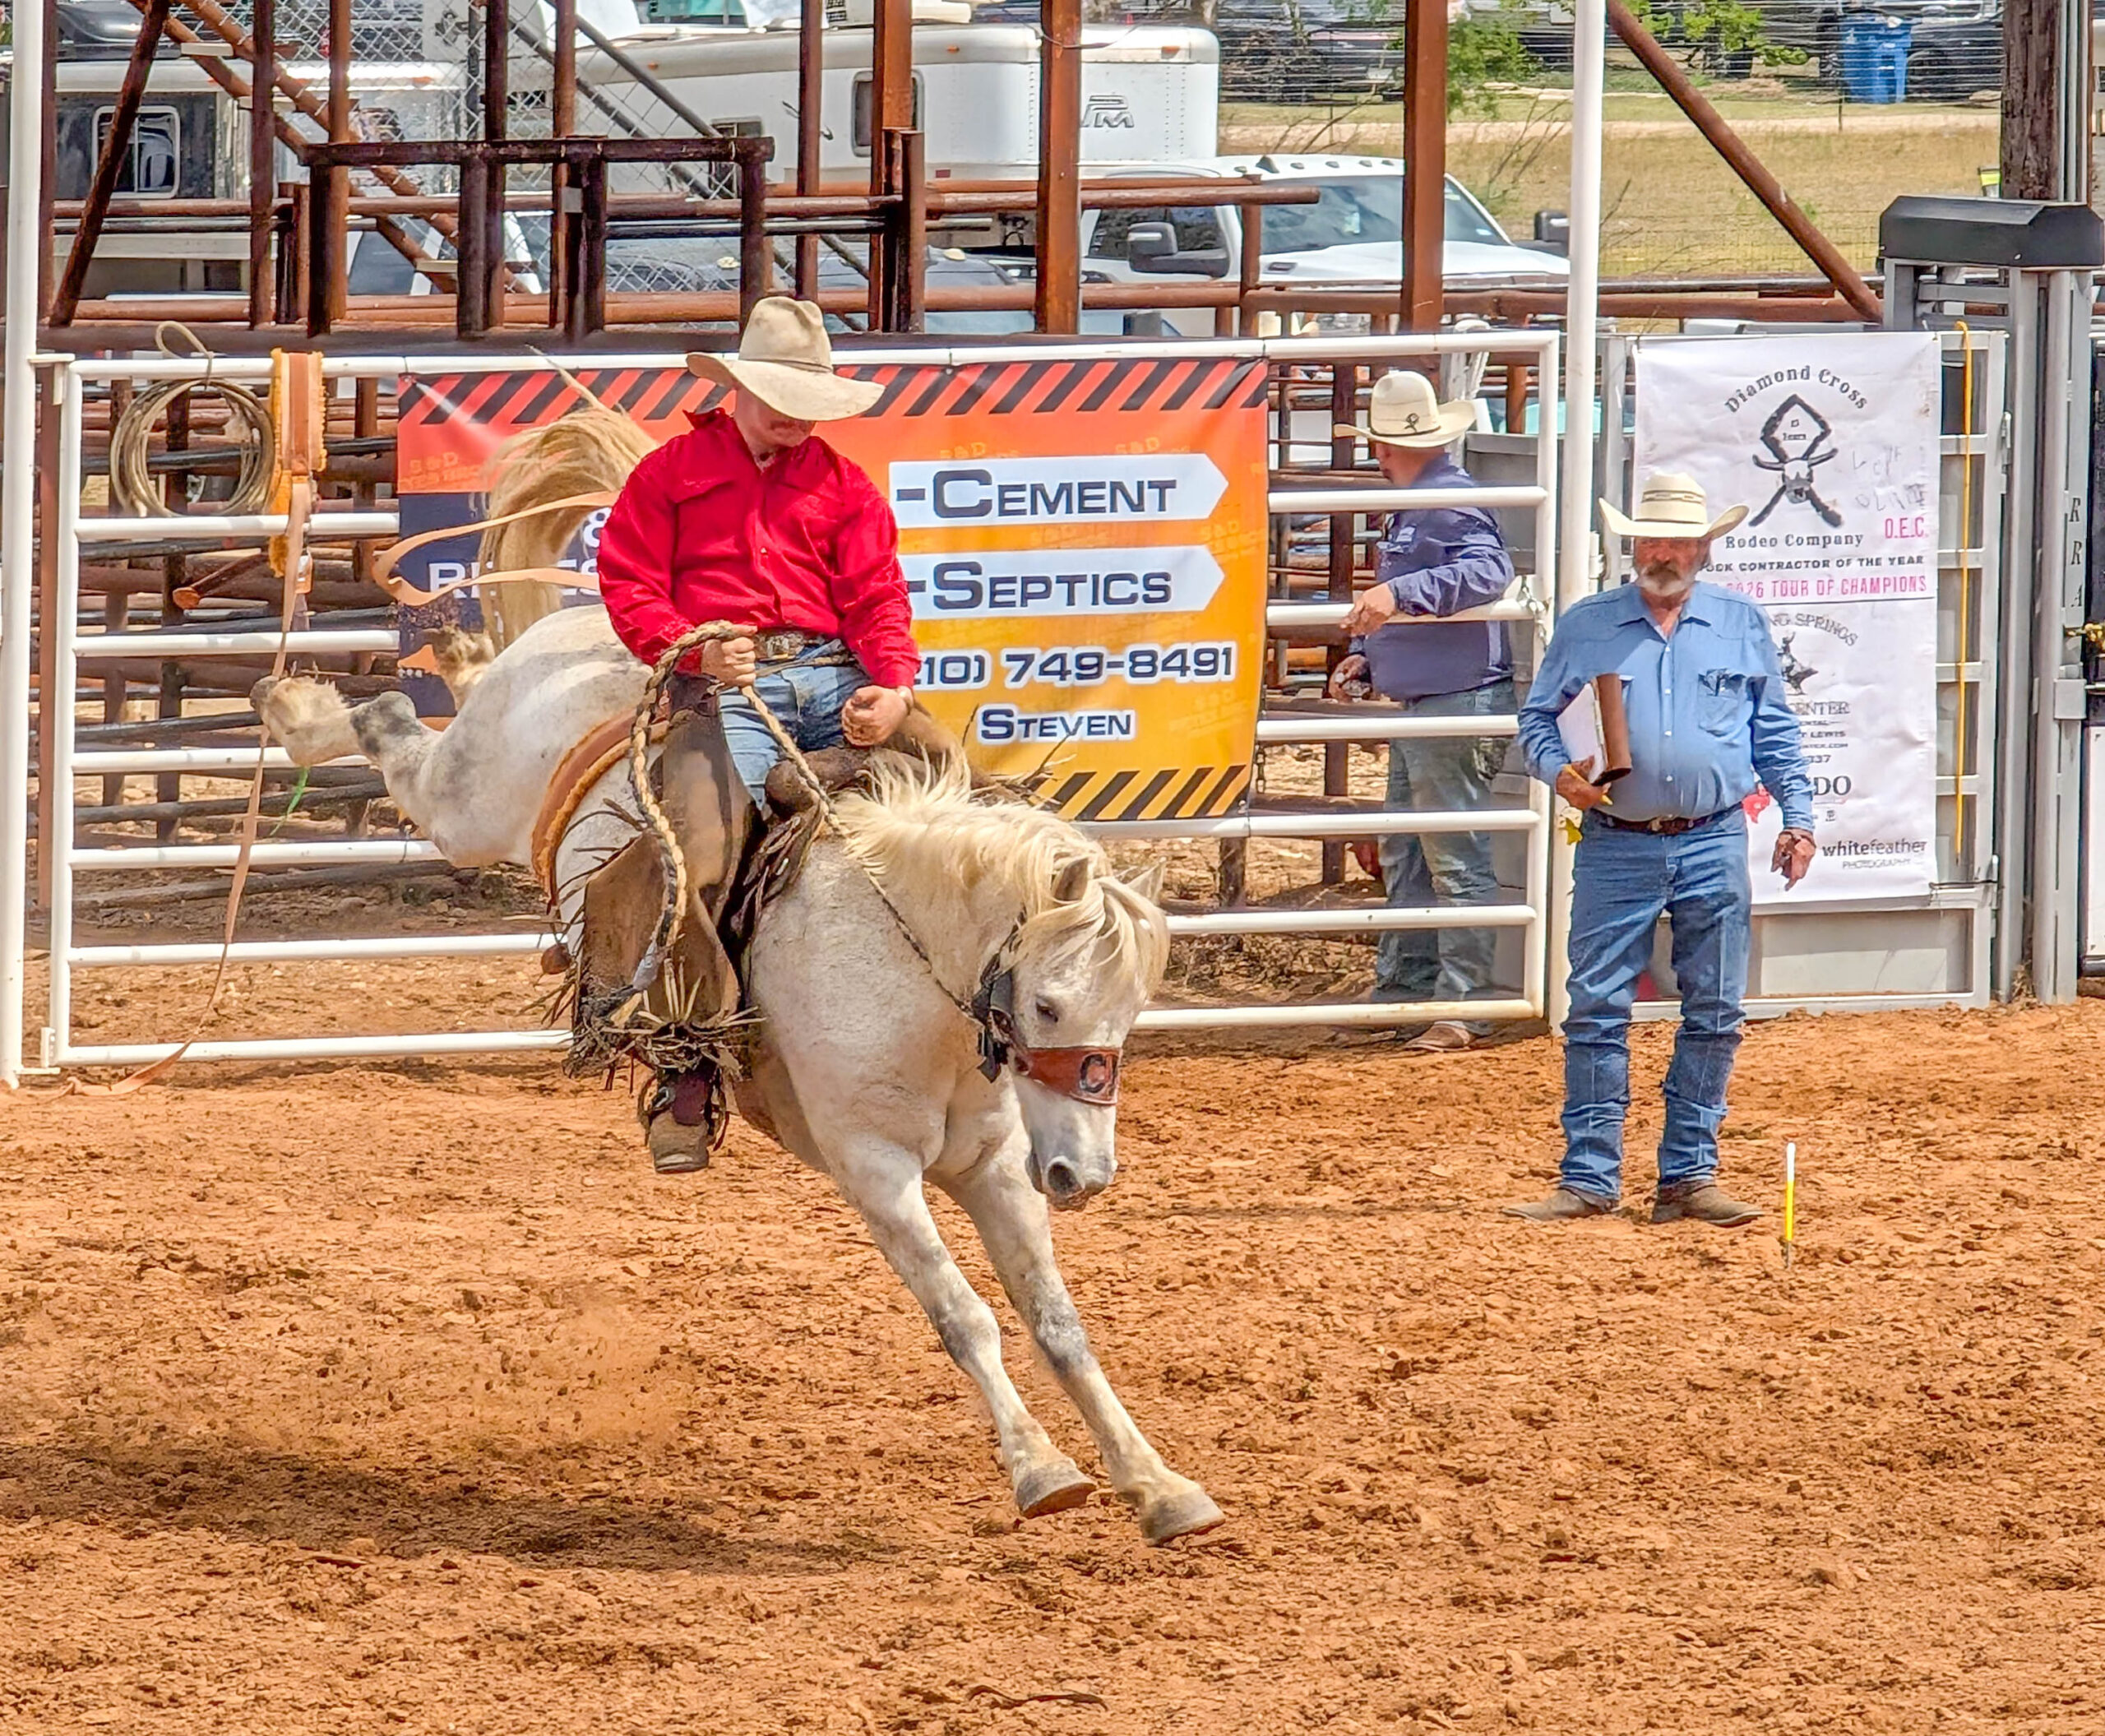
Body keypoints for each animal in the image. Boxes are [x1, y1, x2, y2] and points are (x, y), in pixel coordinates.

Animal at [253, 559, 1224, 1546]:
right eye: (1046, 1002)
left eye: (1132, 1013)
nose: (1084, 1175)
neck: (910, 976)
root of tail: (587, 628)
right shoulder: (874, 1169)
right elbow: (966, 1317)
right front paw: (1040, 1470)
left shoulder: (994, 1165)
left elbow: (1057, 1323)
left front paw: (1159, 1484)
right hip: (470, 801)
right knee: (394, 728)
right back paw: (295, 700)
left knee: (443, 695)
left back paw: (450, 651)